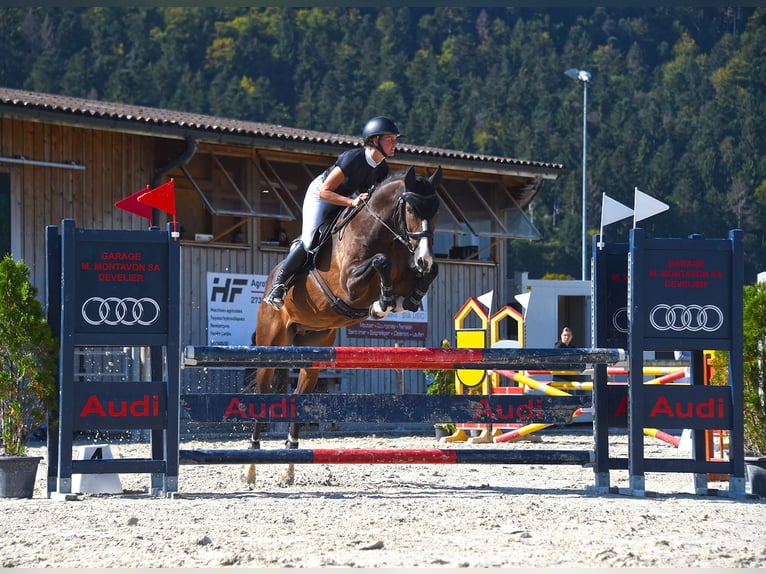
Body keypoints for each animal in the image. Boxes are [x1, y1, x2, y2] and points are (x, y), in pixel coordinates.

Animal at [243, 165, 440, 486]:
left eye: (436, 211)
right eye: (411, 209)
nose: (424, 257)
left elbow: (424, 277)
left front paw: (403, 299)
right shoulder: (350, 285)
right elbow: (381, 262)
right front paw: (383, 302)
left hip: (313, 353)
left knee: (298, 397)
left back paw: (289, 468)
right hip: (270, 344)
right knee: (262, 395)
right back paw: (250, 467)